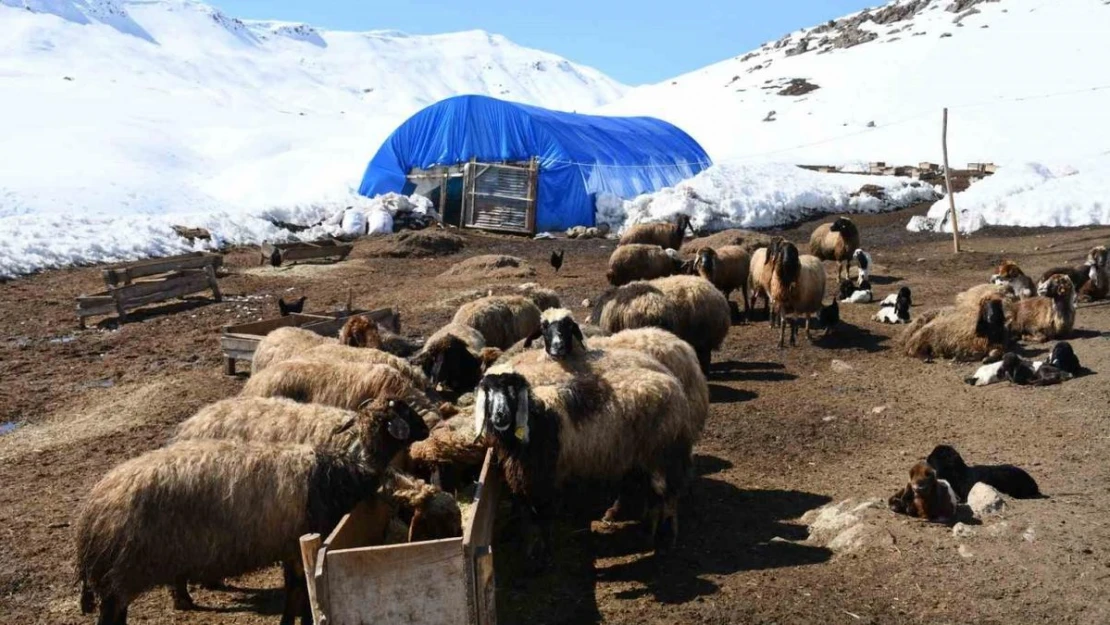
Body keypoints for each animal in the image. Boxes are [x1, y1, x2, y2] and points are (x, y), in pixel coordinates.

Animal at [74, 399, 428, 625]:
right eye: (405, 412)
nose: (425, 428)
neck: (352, 468)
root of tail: (92, 509)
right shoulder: (298, 546)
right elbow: (299, 594)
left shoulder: (289, 548)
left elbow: (296, 593)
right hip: (126, 569)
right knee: (111, 615)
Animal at [472, 359, 697, 563]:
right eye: (488, 393)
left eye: (511, 391)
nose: (500, 416)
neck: (535, 419)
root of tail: (673, 385)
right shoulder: (527, 482)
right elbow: (529, 520)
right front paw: (531, 555)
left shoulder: (545, 480)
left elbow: (543, 520)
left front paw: (544, 557)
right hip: (641, 459)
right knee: (653, 496)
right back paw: (646, 532)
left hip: (664, 456)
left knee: (668, 497)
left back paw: (666, 540)